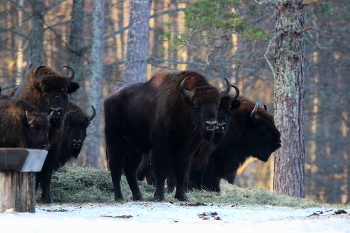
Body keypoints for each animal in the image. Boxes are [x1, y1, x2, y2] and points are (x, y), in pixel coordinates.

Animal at [12, 64, 79, 203]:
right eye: (44, 90)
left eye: (65, 90)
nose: (56, 111)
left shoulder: (53, 149)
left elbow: (47, 172)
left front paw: (48, 198)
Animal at [104, 70, 231, 201]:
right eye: (196, 104)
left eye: (217, 103)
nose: (210, 124)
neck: (183, 104)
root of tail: (109, 98)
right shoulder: (162, 148)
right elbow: (162, 171)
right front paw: (159, 197)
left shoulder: (187, 151)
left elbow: (182, 173)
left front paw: (182, 197)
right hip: (115, 141)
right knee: (116, 168)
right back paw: (119, 197)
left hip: (135, 148)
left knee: (130, 170)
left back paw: (138, 197)